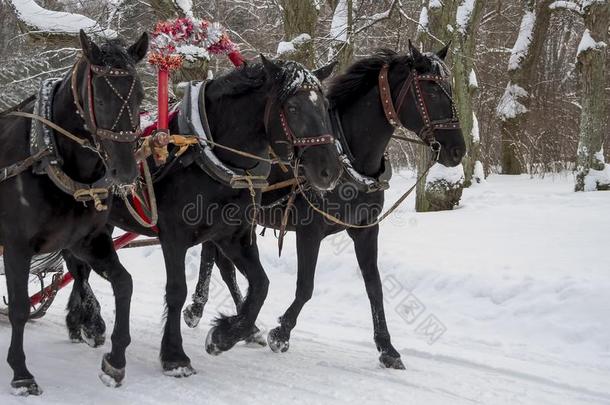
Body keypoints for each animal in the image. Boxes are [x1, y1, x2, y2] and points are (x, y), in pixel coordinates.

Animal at [0, 30, 147, 394]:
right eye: (101, 99)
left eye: (139, 95)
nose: (126, 172)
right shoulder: (17, 245)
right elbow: (20, 307)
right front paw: (21, 373)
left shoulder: (87, 241)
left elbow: (124, 283)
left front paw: (115, 361)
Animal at [64, 56, 344, 376]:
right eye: (293, 108)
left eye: (324, 105)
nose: (330, 170)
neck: (209, 155)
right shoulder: (173, 235)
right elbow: (176, 291)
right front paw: (175, 356)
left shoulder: (234, 236)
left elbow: (261, 285)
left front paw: (225, 336)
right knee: (77, 265)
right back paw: (90, 321)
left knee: (78, 263)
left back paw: (80, 322)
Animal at [180, 43, 466, 366]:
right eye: (431, 90)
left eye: (449, 88)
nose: (458, 149)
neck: (350, 156)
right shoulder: (309, 231)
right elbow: (306, 287)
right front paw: (281, 333)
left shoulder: (366, 230)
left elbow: (375, 287)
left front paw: (386, 348)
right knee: (217, 261)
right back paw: (211, 314)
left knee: (218, 260)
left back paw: (237, 323)